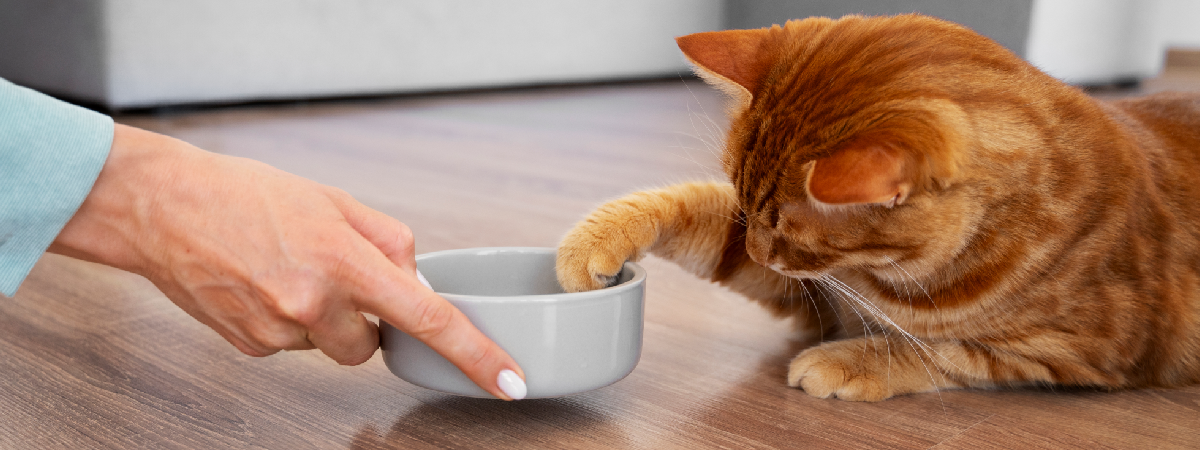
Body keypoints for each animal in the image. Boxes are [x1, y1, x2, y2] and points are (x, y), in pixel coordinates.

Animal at [552, 14, 1200, 400]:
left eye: (786, 228)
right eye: (747, 205)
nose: (759, 249)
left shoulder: (1075, 353)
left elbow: (941, 351)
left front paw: (850, 361)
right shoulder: (808, 292)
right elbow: (688, 206)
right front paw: (595, 241)